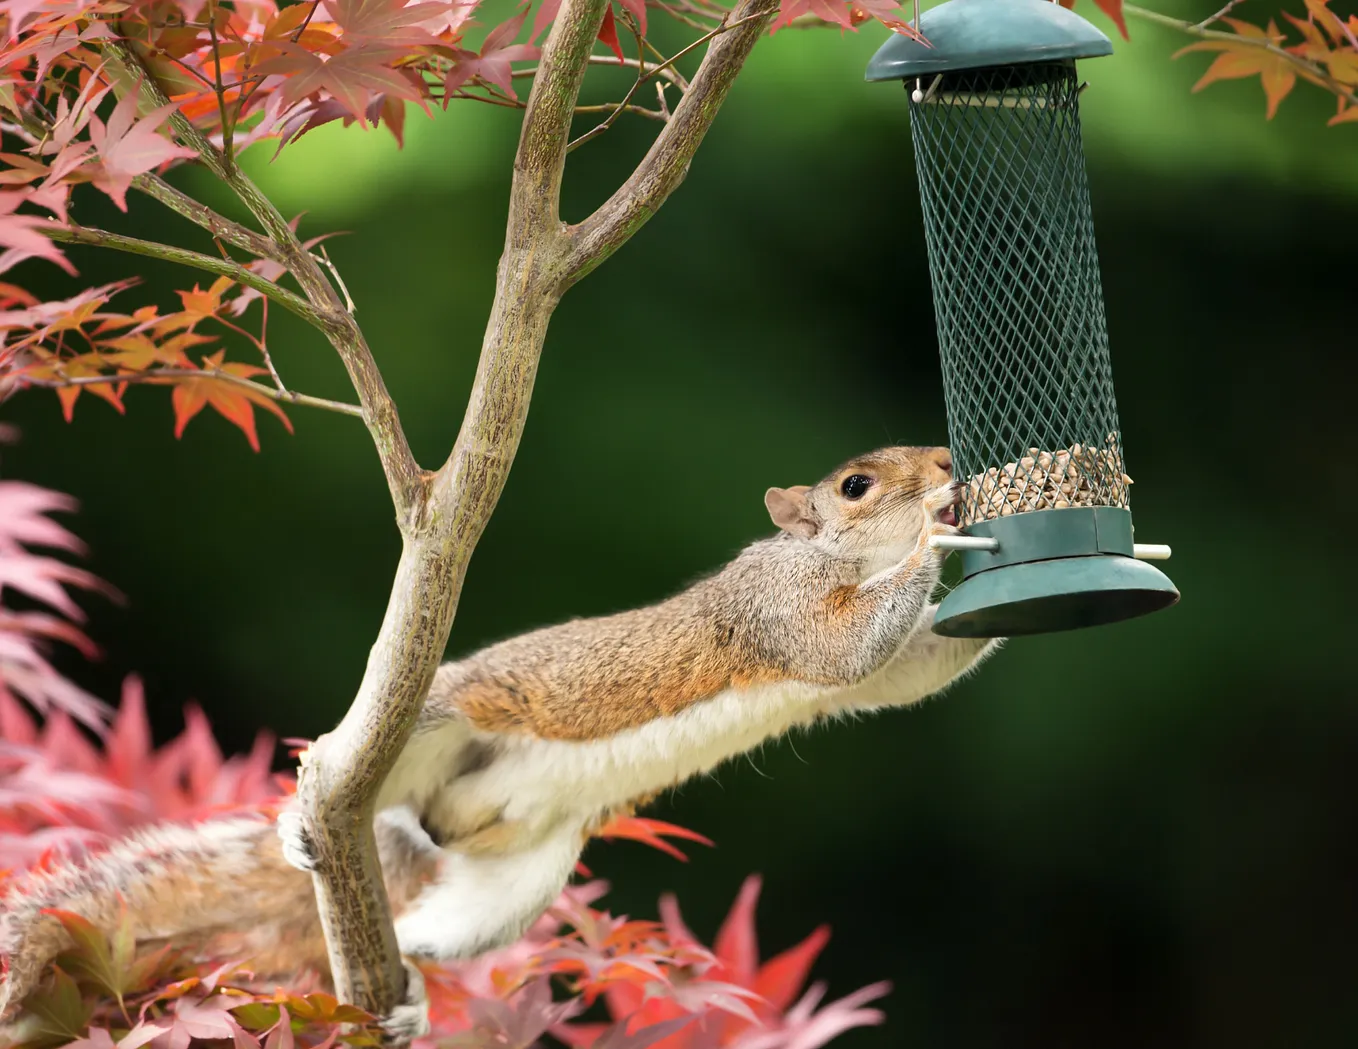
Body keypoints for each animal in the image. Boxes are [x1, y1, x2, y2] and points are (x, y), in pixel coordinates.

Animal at [2, 442, 1010, 1038]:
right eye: (856, 484)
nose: (945, 459)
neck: (837, 555)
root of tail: (422, 824)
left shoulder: (886, 672)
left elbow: (915, 668)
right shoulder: (776, 609)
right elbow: (846, 645)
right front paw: (939, 534)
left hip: (517, 882)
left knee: (430, 929)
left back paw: (407, 992)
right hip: (429, 723)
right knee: (340, 774)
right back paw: (302, 815)